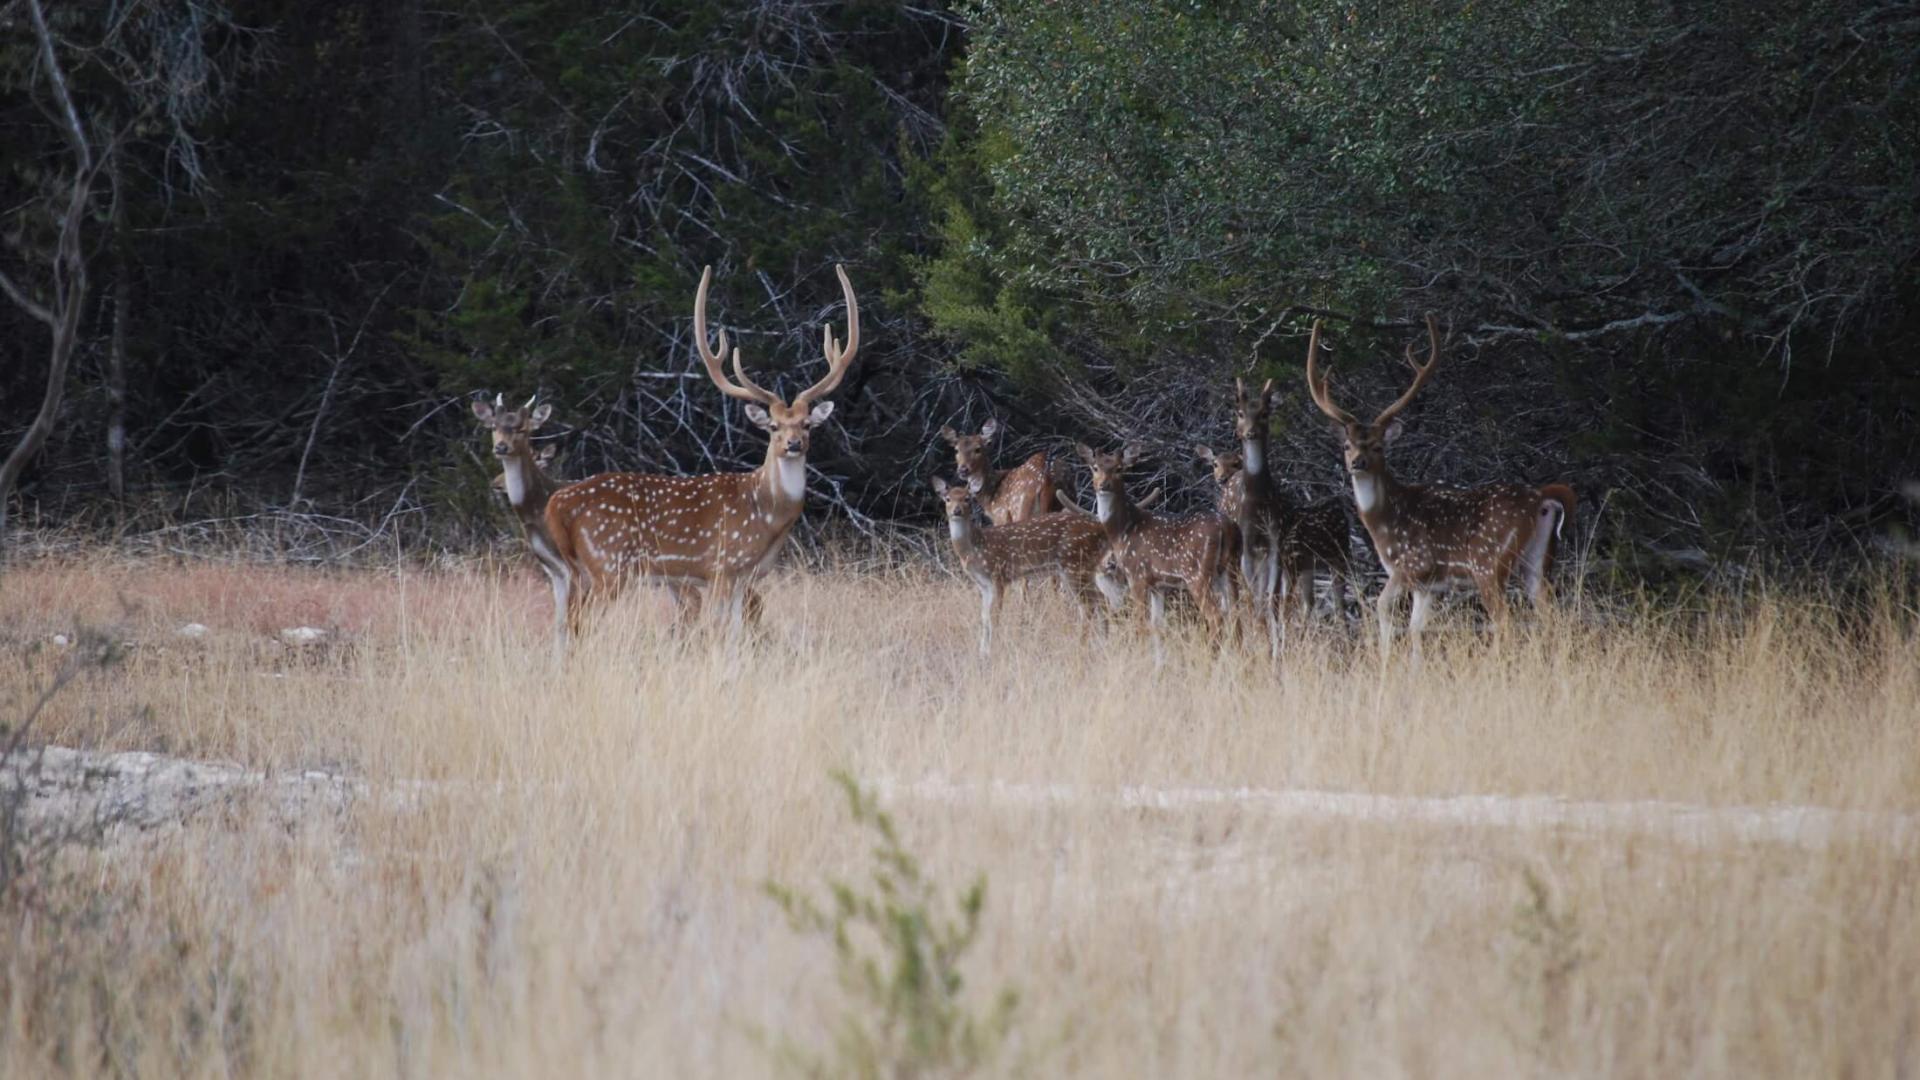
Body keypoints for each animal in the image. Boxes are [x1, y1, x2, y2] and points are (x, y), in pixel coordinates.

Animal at [549, 265, 864, 634]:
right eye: (773, 426)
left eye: (807, 424)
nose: (793, 444)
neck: (767, 515)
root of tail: (555, 505)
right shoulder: (722, 566)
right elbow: (718, 629)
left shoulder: (745, 577)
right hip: (608, 563)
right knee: (579, 622)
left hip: (577, 569)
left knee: (564, 620)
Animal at [929, 474, 1121, 653]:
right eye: (947, 499)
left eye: (967, 498)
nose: (957, 510)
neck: (975, 550)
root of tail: (1101, 530)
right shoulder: (983, 585)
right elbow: (983, 617)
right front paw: (982, 652)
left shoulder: (998, 575)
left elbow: (994, 616)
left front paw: (992, 650)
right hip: (1082, 568)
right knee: (1101, 600)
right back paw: (1102, 642)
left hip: (1075, 564)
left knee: (1088, 606)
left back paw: (1081, 645)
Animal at [1075, 440, 1236, 645]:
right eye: (1095, 467)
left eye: (1119, 468)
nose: (1103, 484)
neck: (1122, 530)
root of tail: (1225, 527)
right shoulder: (1158, 585)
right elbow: (1156, 624)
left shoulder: (1137, 574)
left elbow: (1140, 623)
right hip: (1230, 569)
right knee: (1237, 613)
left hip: (1197, 573)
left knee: (1216, 616)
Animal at [1305, 313, 1574, 657]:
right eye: (1347, 445)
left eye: (1378, 446)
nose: (1357, 463)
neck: (1384, 524)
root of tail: (1542, 498)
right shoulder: (1428, 586)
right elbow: (1416, 629)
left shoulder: (1413, 563)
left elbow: (1382, 607)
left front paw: (1384, 660)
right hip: (1537, 563)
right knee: (1552, 616)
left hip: (1488, 562)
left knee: (1506, 621)